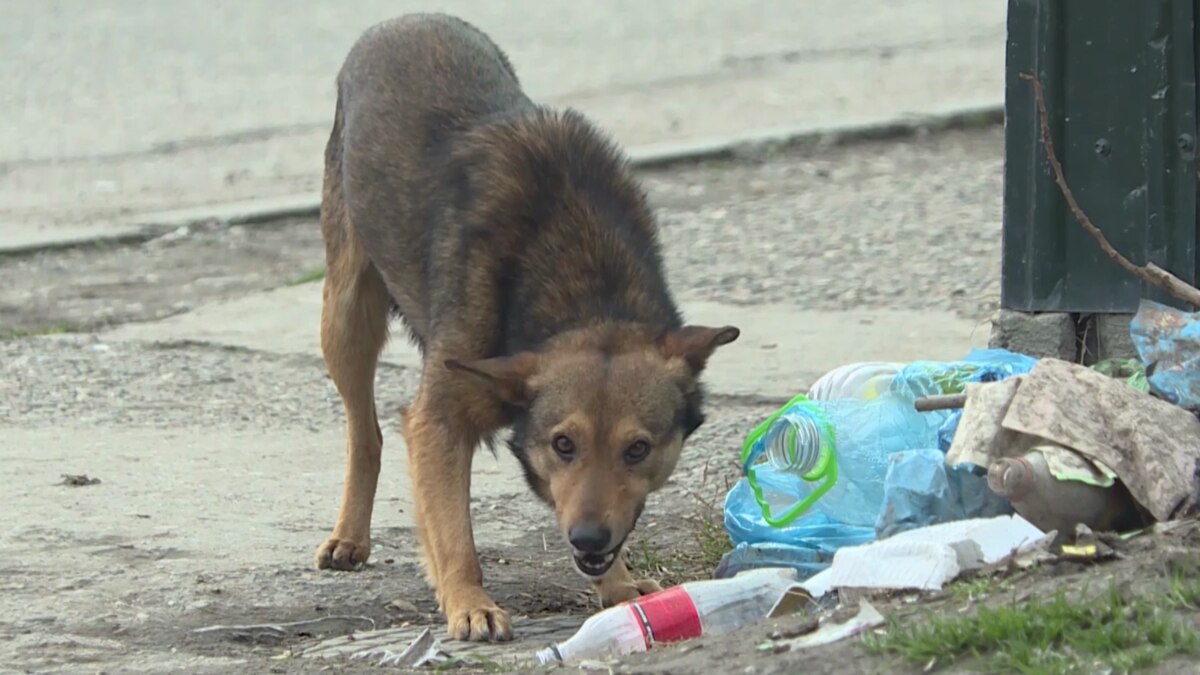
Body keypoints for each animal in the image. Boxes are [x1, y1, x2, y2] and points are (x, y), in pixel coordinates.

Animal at [314, 13, 734, 638]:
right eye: (563, 443)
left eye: (638, 449)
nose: (588, 538)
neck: (583, 288)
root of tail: (406, 19)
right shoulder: (438, 420)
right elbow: (453, 532)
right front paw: (469, 602)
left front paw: (617, 585)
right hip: (345, 316)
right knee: (366, 433)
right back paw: (349, 536)